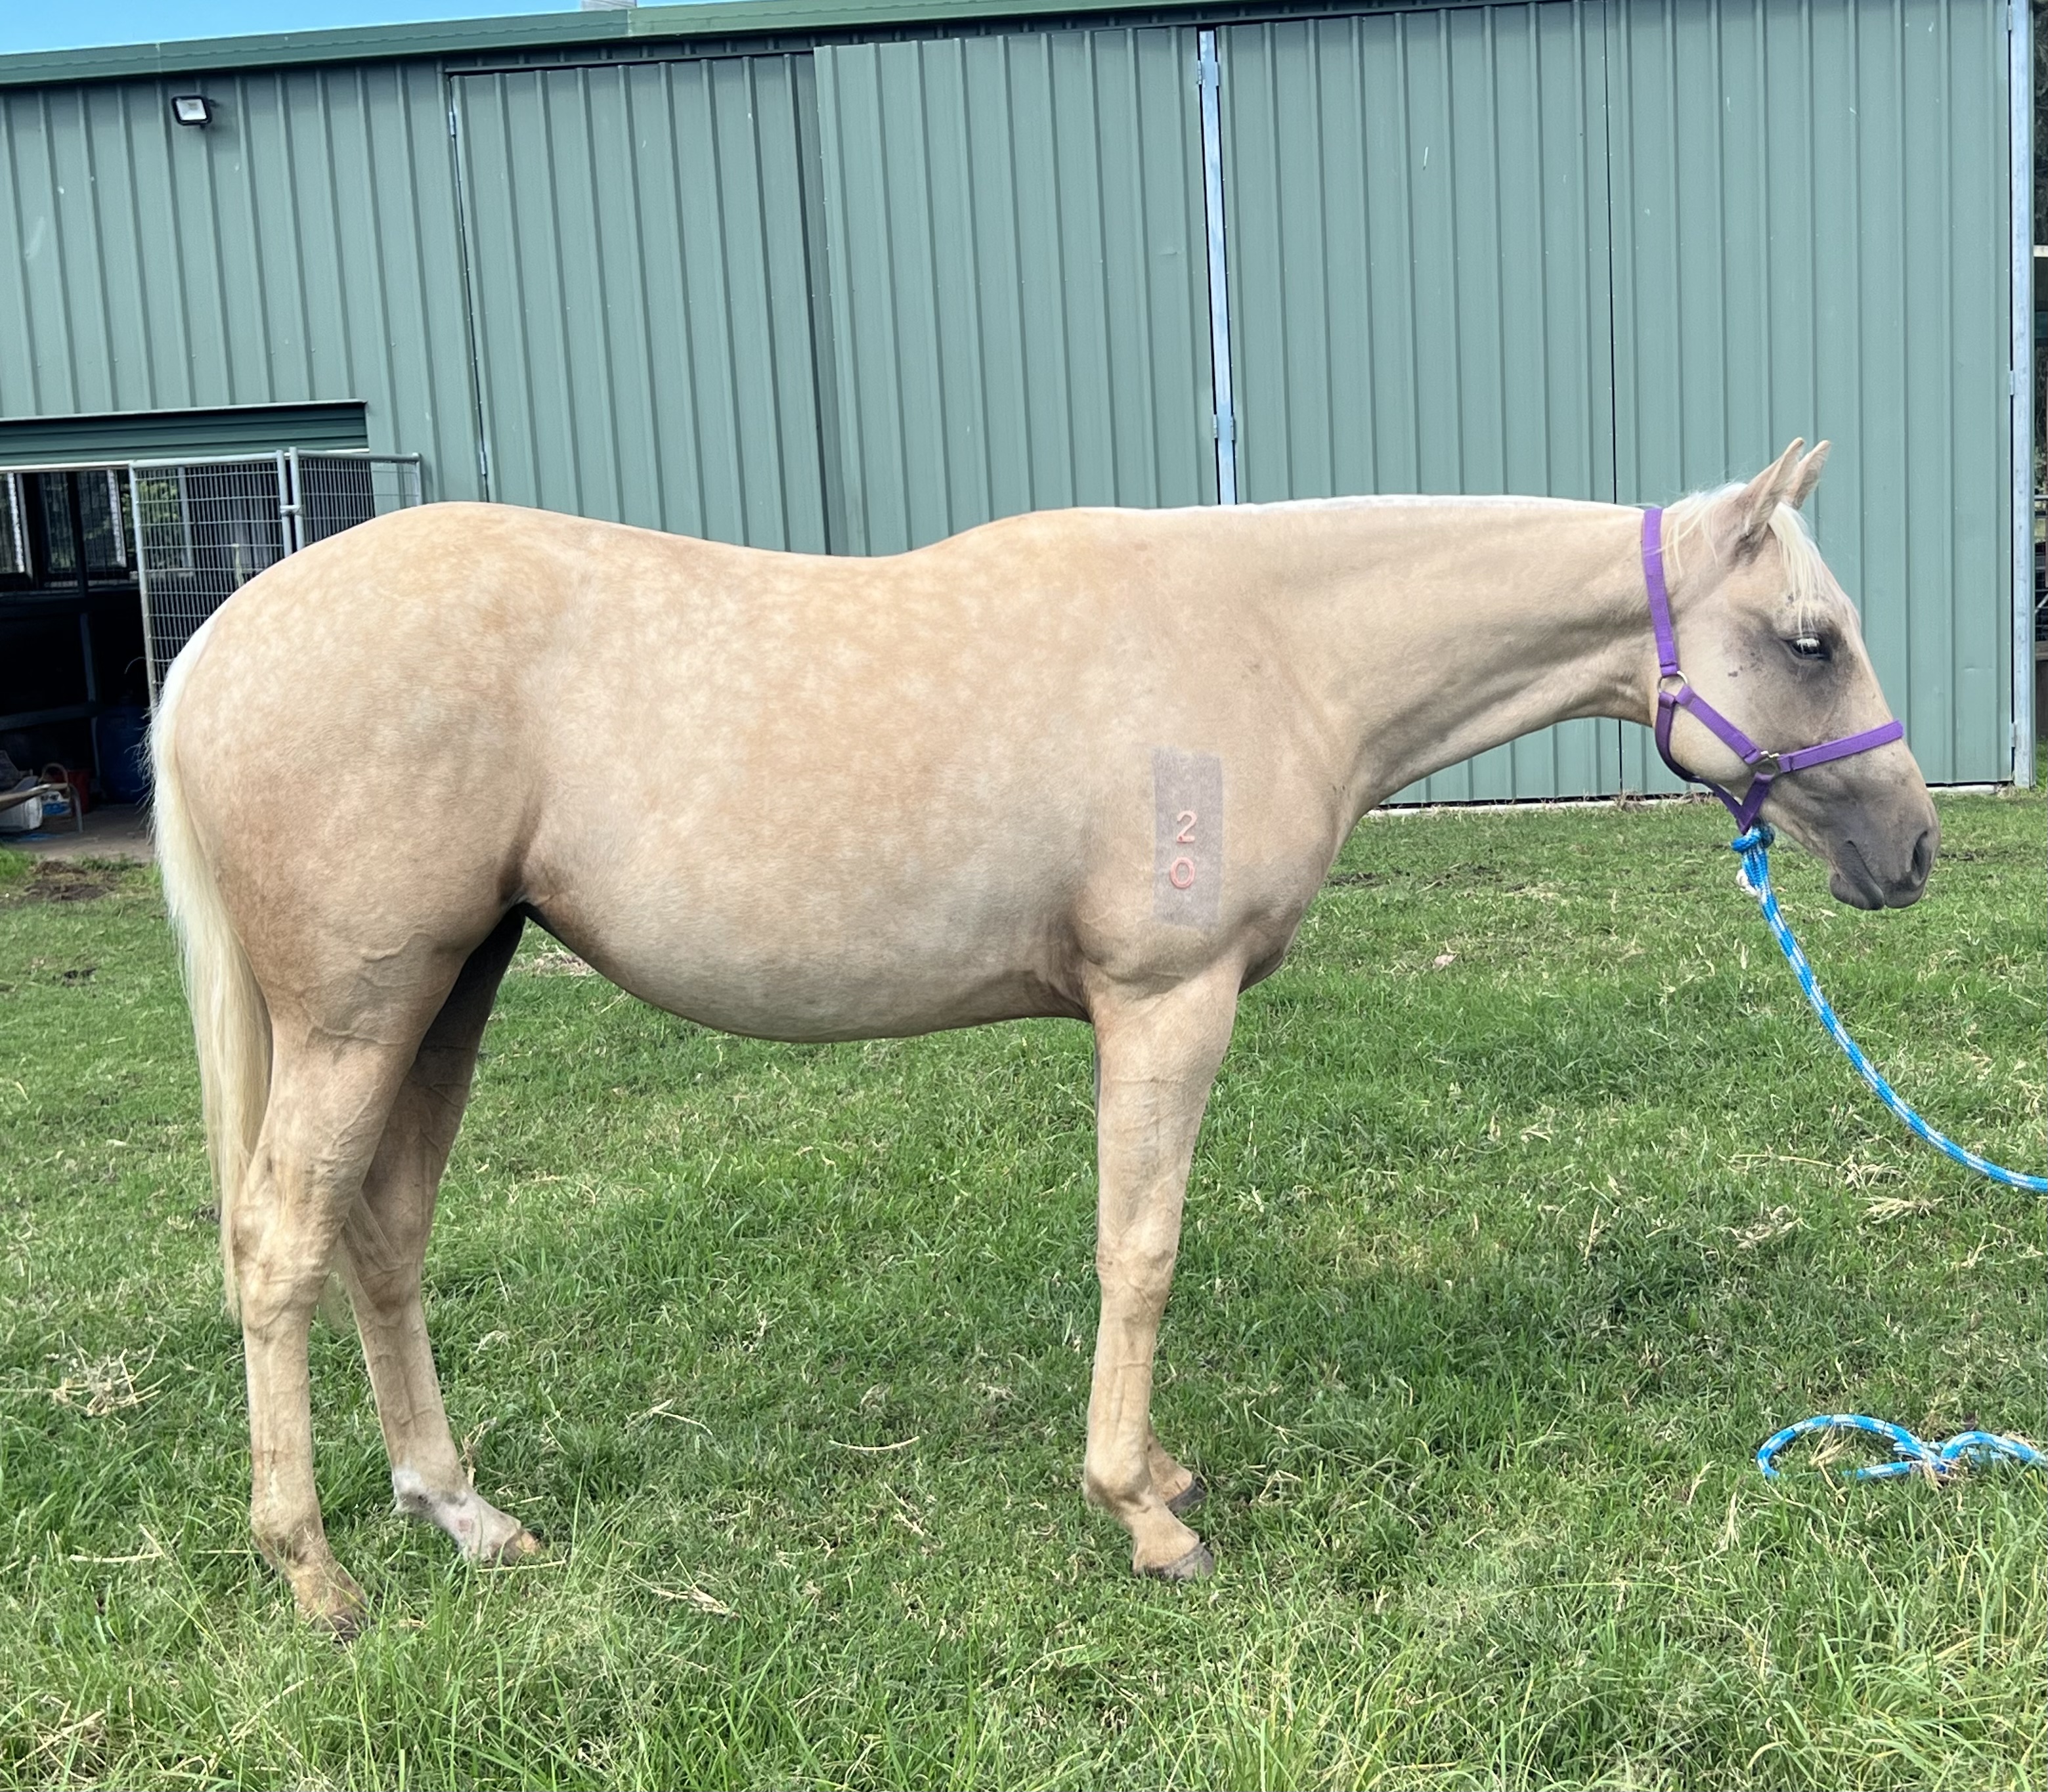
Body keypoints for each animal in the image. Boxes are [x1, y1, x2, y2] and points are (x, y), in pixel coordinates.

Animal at [151, 439, 1936, 1630]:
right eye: (1808, 640)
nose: (1912, 851)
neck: (1273, 640)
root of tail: (220, 642)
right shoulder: (1164, 1001)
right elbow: (1137, 1247)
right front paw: (1142, 1511)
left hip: (449, 987)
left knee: (382, 1233)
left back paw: (463, 1511)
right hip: (360, 1009)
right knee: (280, 1245)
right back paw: (314, 1570)